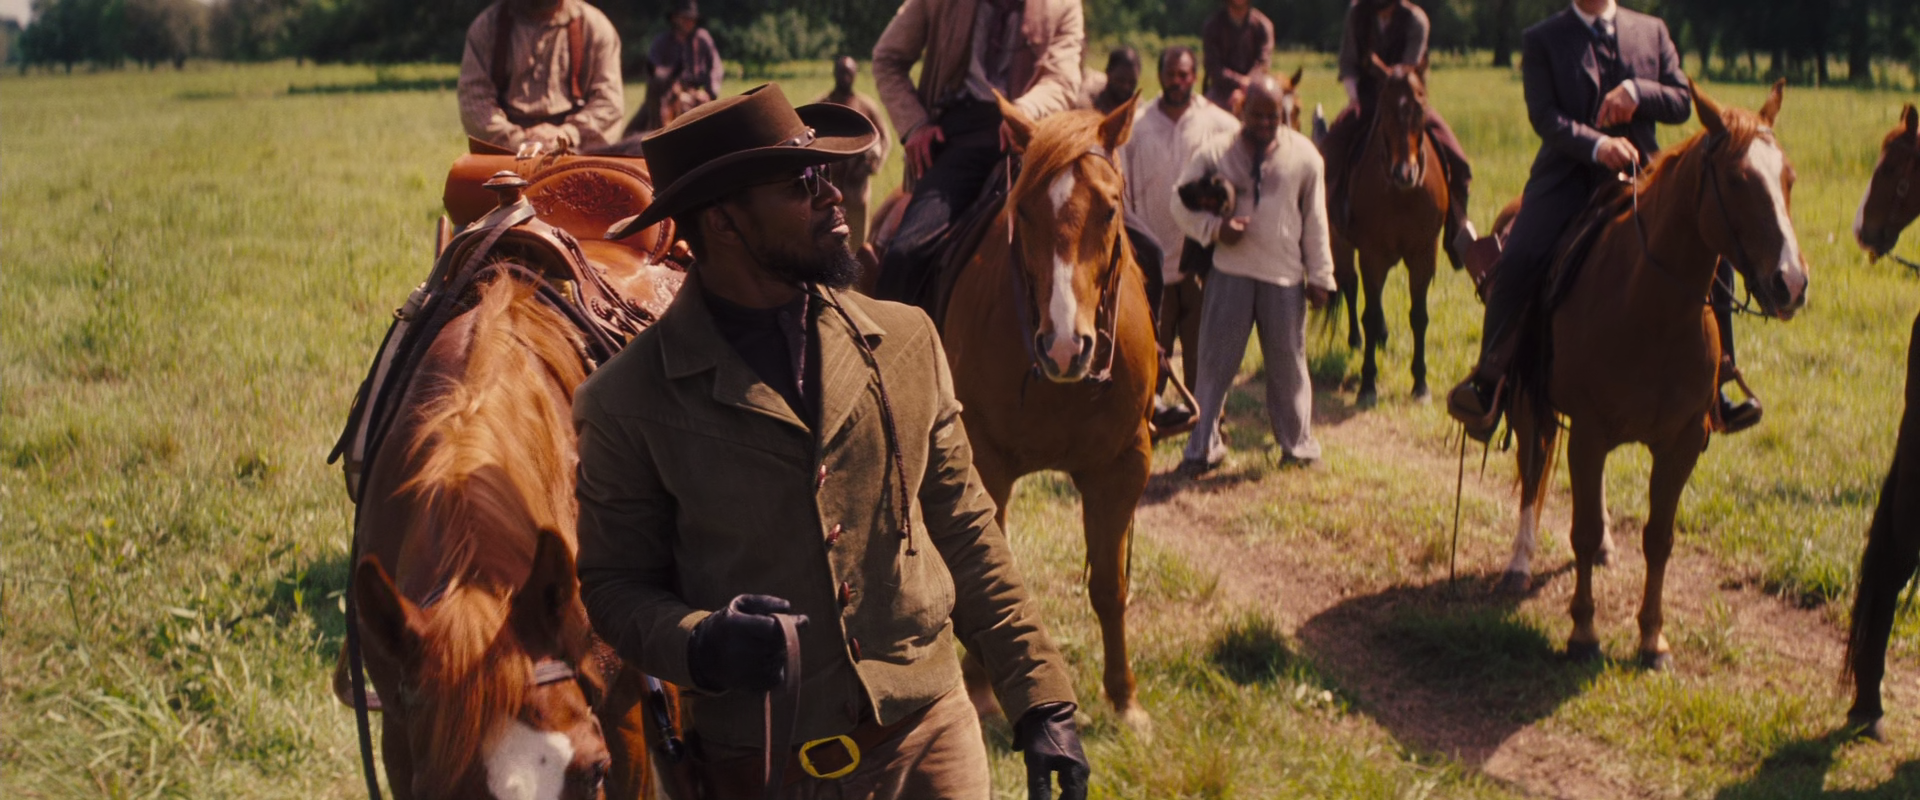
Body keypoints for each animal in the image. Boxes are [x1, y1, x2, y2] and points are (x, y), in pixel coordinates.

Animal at [938, 94, 1159, 730]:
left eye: (1110, 209)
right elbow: (989, 576)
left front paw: (1125, 700)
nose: (1065, 346)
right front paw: (982, 693)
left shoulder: (1123, 465)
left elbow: (1109, 585)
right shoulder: (983, 462)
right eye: (1026, 210)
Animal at [1329, 54, 1448, 405]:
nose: (1404, 173)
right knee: (1350, 285)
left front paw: (1420, 384)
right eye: (1384, 108)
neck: (1401, 195)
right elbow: (1368, 312)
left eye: (1421, 106)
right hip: (1341, 244)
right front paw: (1368, 383)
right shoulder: (1371, 254)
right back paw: (1356, 340)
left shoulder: (1423, 254)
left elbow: (1419, 316)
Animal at [1500, 79, 1807, 670]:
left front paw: (1652, 638)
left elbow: (1658, 537)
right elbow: (1580, 527)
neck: (1651, 306)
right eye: (1737, 179)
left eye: (1789, 178)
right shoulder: (1589, 430)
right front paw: (1583, 633)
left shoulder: (1682, 441)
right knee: (1533, 464)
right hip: (1530, 400)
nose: (1792, 283)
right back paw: (1520, 561)